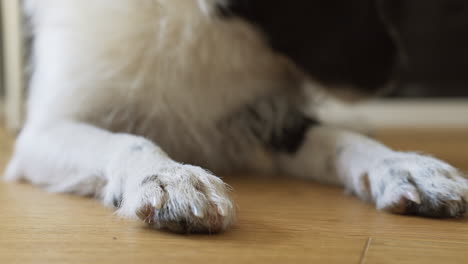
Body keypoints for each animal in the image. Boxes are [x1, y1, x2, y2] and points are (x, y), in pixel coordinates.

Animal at [4, 0, 468, 232]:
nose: (399, 71)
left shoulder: (262, 114)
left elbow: (339, 139)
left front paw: (405, 166)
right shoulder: (43, 131)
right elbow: (127, 141)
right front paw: (169, 177)